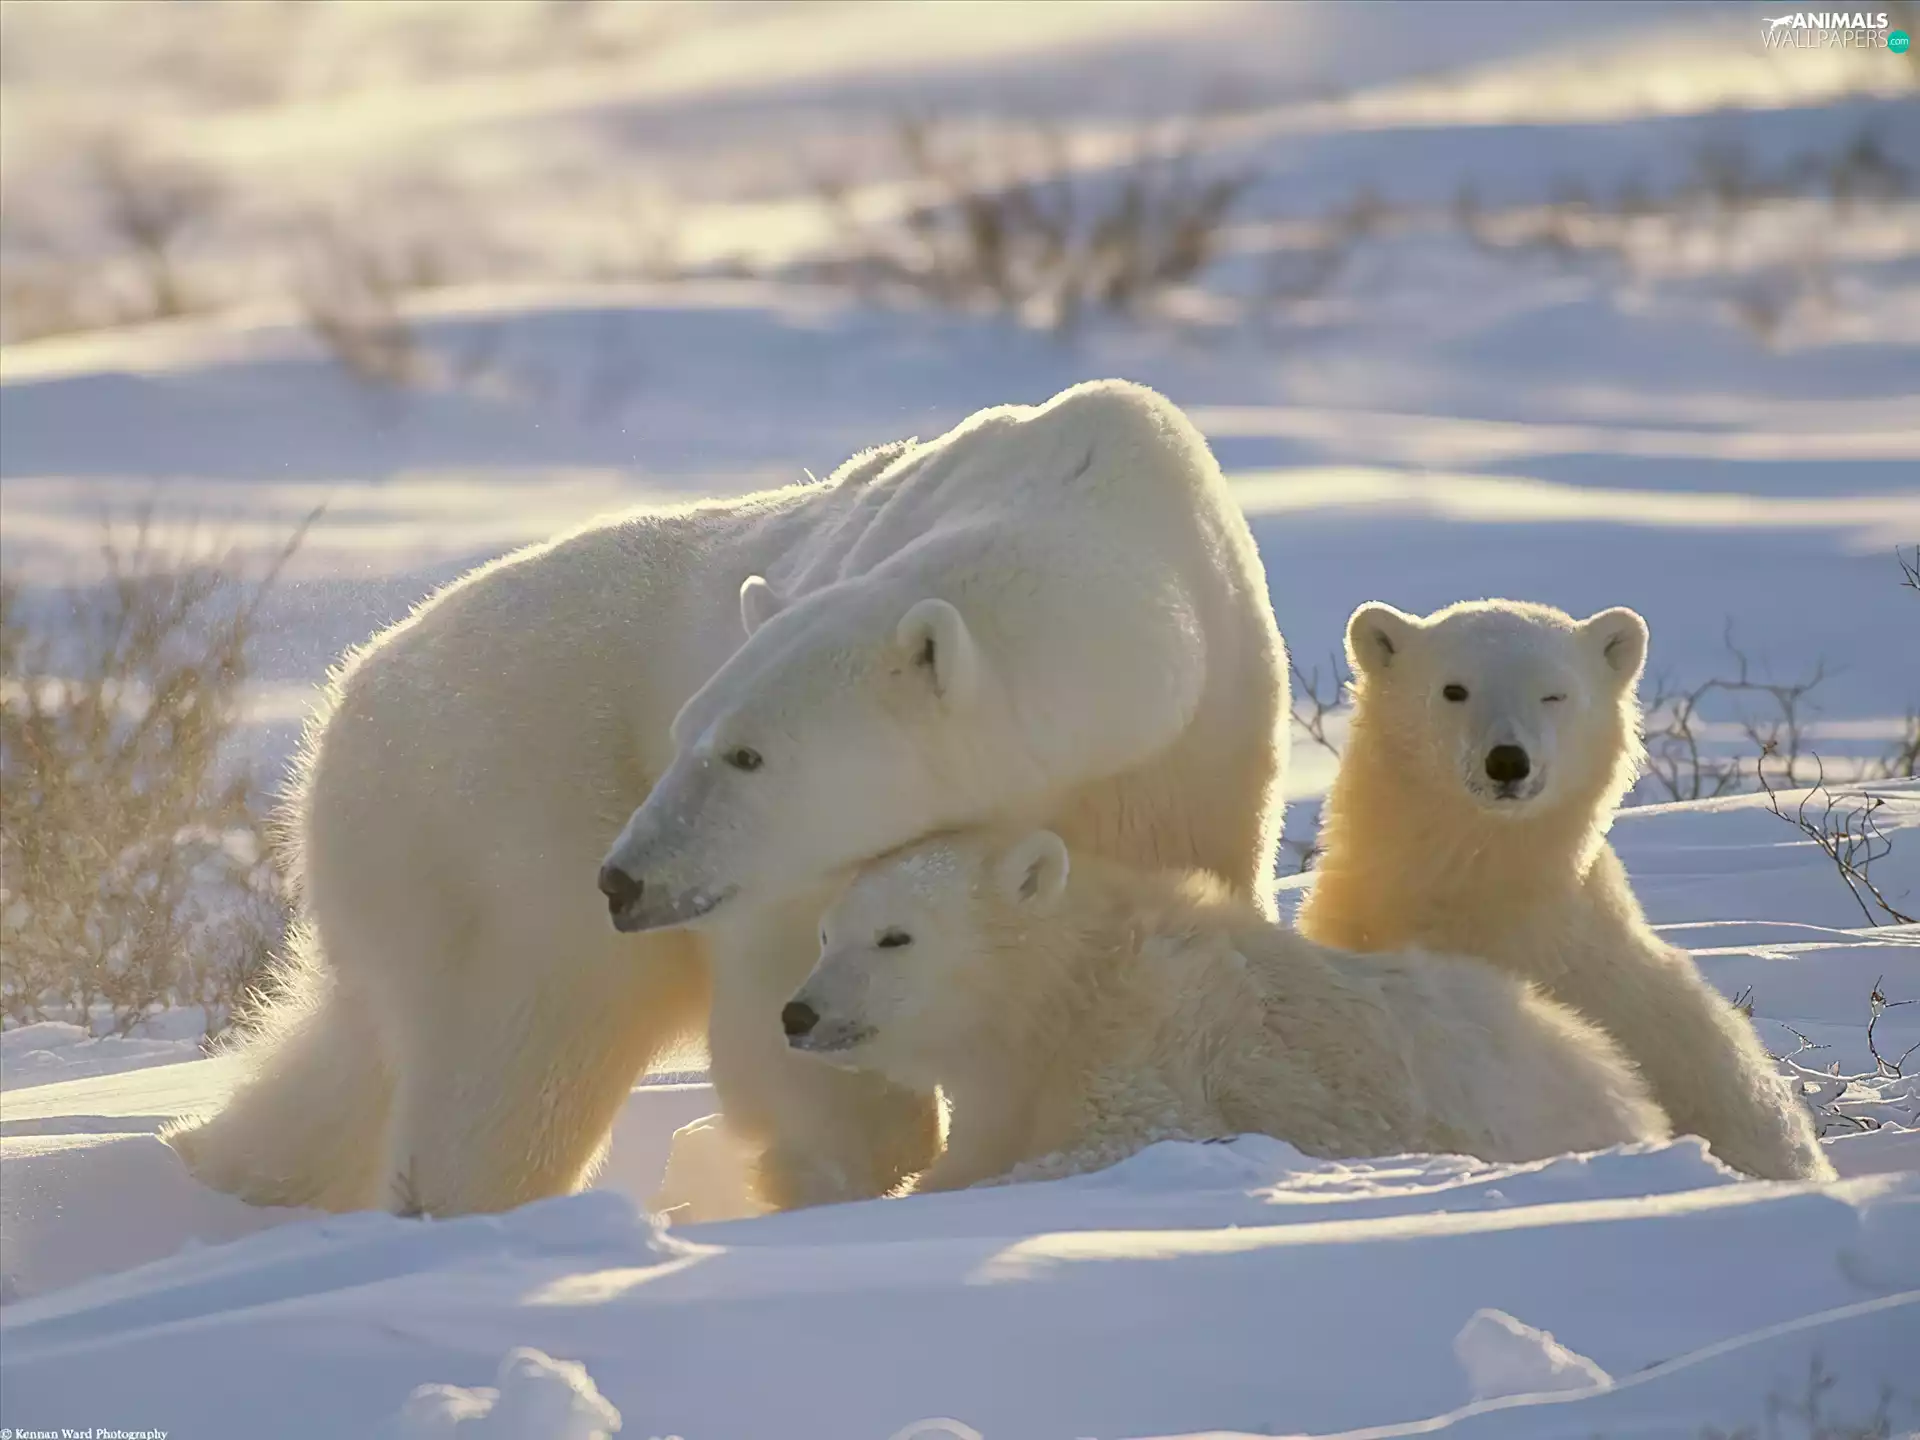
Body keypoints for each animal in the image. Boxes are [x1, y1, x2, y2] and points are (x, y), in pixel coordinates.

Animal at [165, 379, 1288, 1217]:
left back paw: (218, 1163)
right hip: (499, 813)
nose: (624, 879)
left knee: (357, 1048)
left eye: (745, 754)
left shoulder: (1194, 758)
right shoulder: (790, 875)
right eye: (687, 733)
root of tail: (344, 703)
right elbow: (788, 1005)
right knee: (522, 1050)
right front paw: (853, 1166)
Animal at [781, 826, 1672, 1191]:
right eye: (825, 933)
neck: (1067, 991)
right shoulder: (1009, 1081)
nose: (798, 1014)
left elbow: (1120, 1139)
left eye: (895, 936)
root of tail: (1628, 1087)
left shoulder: (1153, 1035)